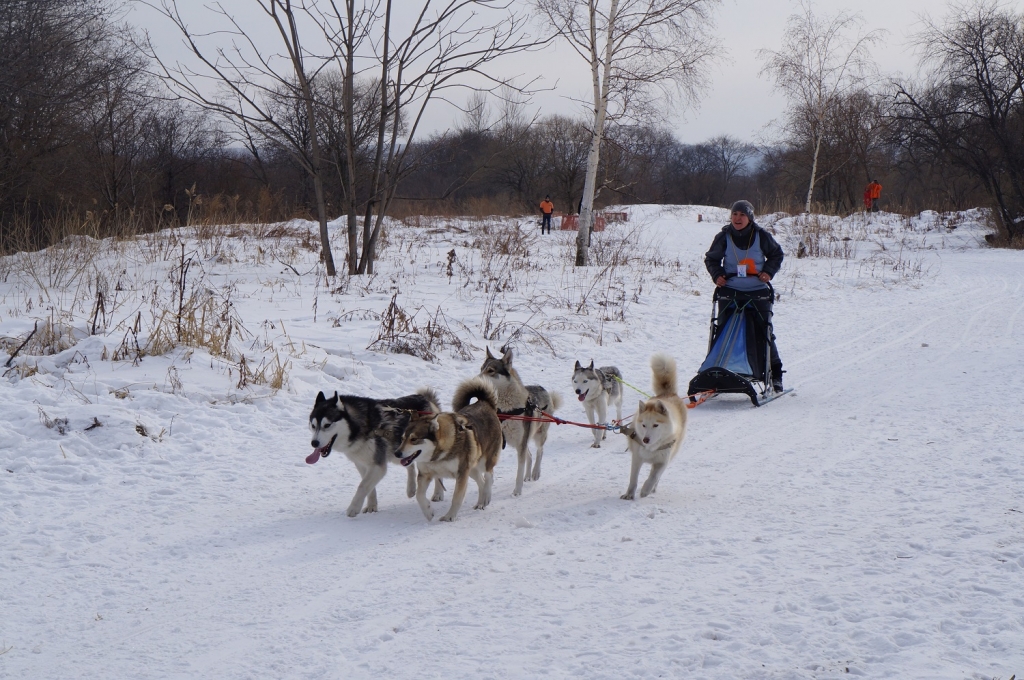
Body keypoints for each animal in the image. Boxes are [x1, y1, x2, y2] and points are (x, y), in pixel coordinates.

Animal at [307, 391, 444, 518]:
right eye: (313, 426)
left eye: (327, 425)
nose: (314, 443)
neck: (361, 427)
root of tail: (425, 398)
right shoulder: (362, 464)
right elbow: (369, 487)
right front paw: (371, 506)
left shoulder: (377, 466)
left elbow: (362, 486)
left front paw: (353, 508)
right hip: (398, 452)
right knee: (409, 465)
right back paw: (411, 488)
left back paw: (438, 493)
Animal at [393, 374, 501, 522]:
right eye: (403, 438)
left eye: (414, 439)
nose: (397, 453)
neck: (438, 455)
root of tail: (483, 402)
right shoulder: (425, 474)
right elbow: (419, 496)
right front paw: (428, 512)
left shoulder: (461, 474)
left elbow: (456, 498)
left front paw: (450, 516)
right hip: (471, 468)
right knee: (482, 481)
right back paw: (480, 502)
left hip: (484, 461)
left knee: (489, 476)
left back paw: (486, 497)